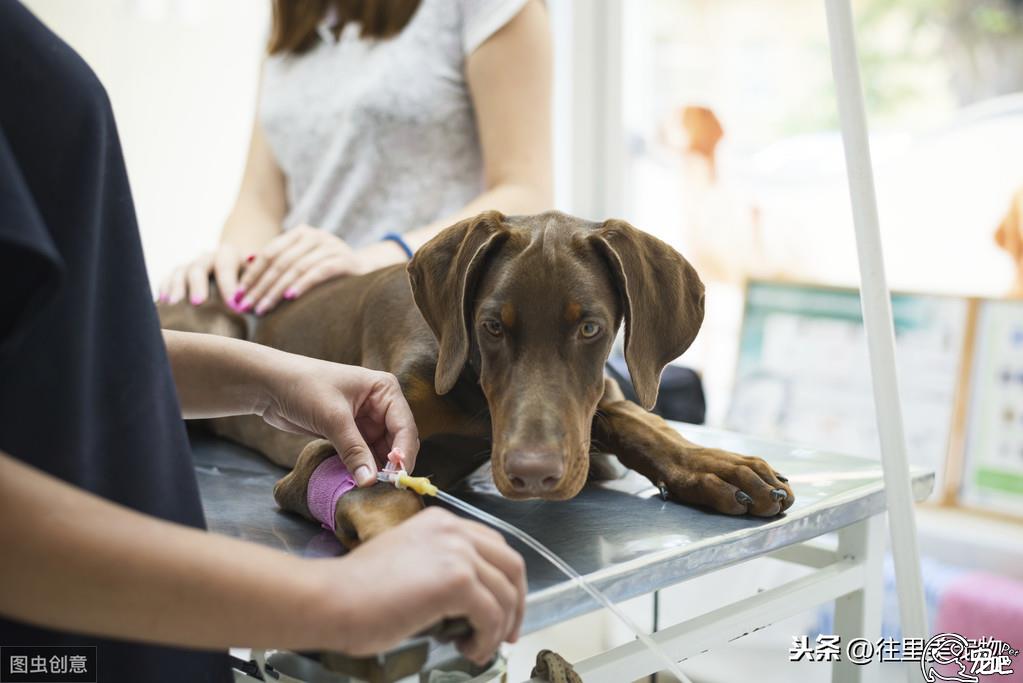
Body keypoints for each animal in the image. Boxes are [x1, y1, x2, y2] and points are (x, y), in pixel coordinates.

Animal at [161, 210, 797, 548]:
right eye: (491, 326)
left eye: (590, 327)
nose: (533, 474)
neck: (473, 398)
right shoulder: (329, 446)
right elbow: (376, 491)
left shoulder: (594, 407)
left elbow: (631, 418)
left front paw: (713, 464)